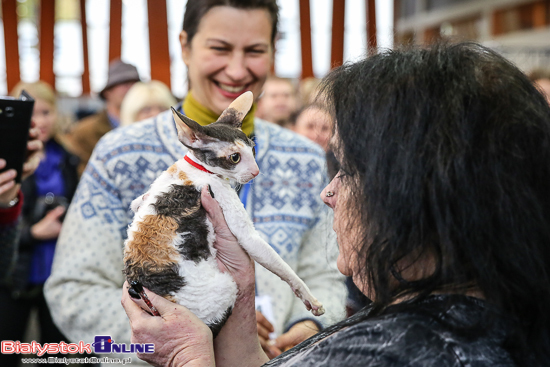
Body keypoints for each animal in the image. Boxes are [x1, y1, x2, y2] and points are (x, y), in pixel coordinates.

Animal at [124, 92, 324, 336]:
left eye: (253, 150)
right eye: (234, 158)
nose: (256, 172)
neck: (195, 167)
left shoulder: (141, 199)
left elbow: (137, 203)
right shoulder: (223, 199)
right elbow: (281, 266)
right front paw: (310, 299)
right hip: (226, 287)